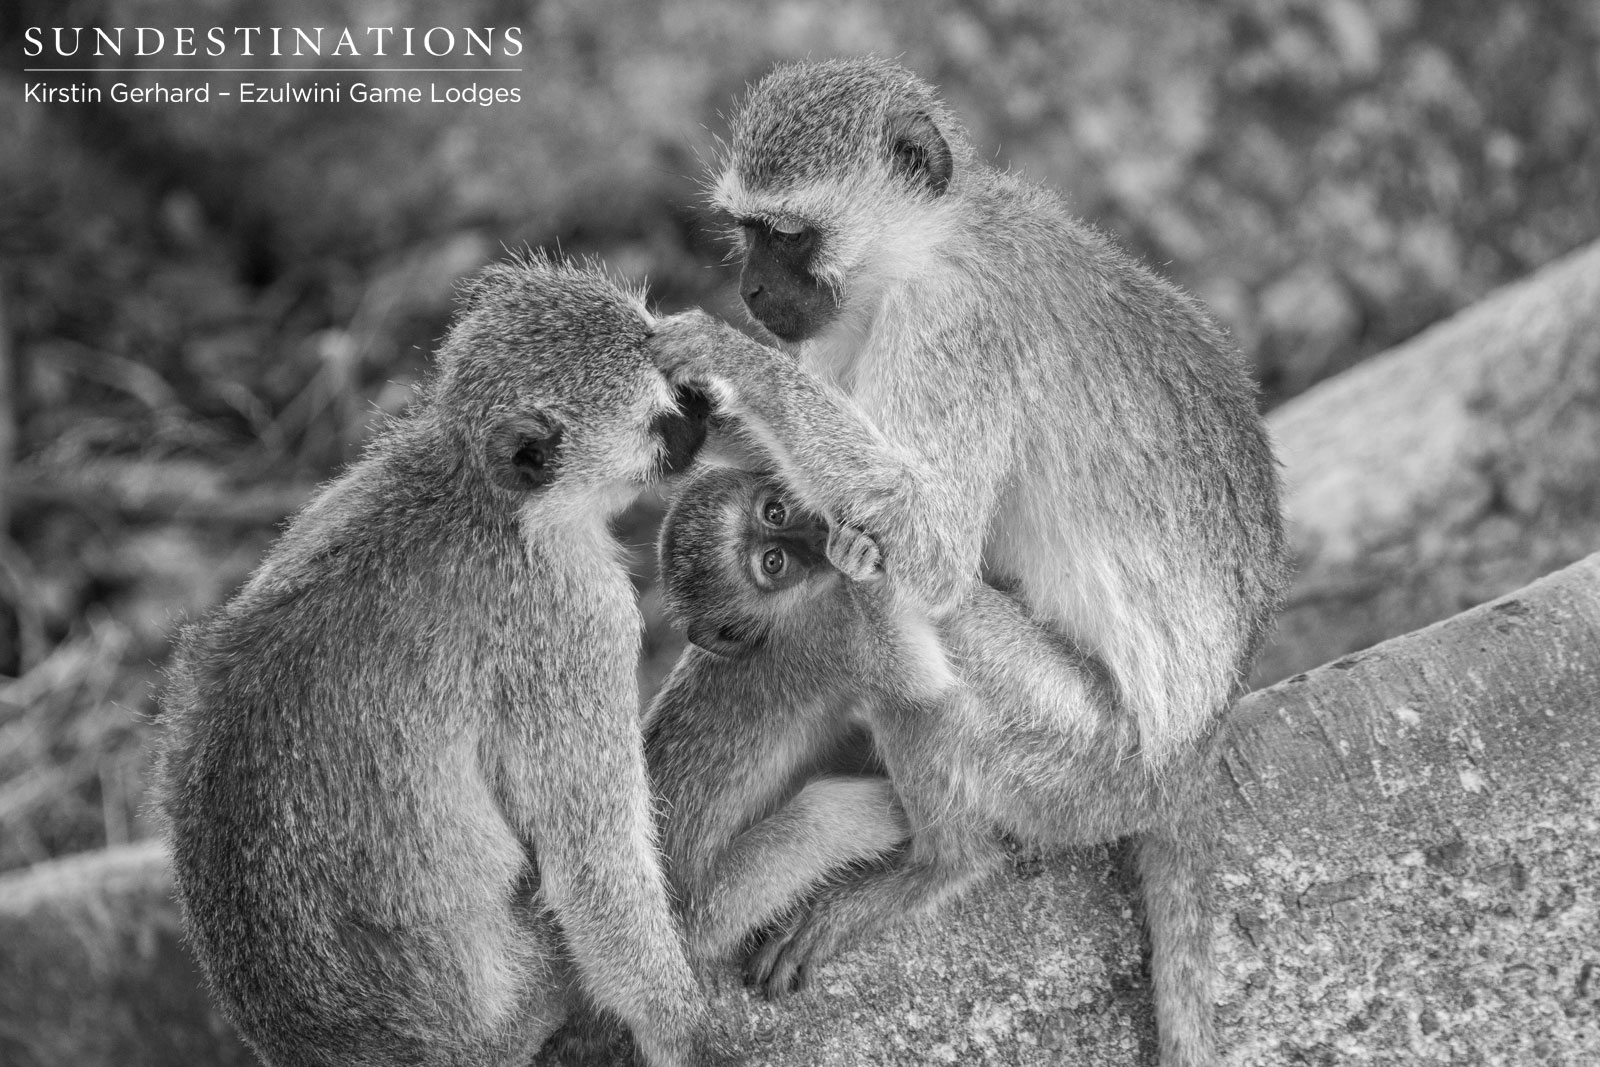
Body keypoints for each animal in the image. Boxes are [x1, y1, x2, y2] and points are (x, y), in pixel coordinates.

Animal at [154, 256, 737, 1067]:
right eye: (668, 409)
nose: (707, 405)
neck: (483, 500)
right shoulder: (572, 623)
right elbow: (594, 868)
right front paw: (685, 1031)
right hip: (523, 995)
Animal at [647, 57, 1293, 1066]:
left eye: (786, 236)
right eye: (746, 233)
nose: (751, 292)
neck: (936, 239)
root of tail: (1190, 756)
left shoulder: (953, 323)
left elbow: (935, 549)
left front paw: (722, 357)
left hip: (1077, 762)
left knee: (879, 611)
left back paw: (943, 865)